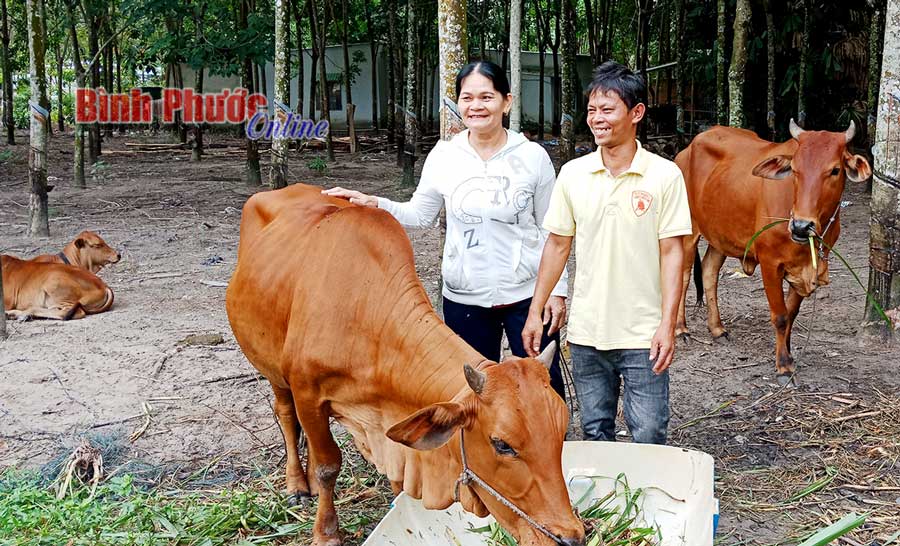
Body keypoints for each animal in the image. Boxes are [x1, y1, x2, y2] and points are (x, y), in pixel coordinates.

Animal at [227, 184, 584, 544]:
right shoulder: (306, 392)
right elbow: (328, 466)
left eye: (561, 431)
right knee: (286, 415)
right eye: (502, 445)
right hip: (270, 367)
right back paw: (299, 484)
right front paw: (326, 533)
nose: (570, 536)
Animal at [676, 121, 872, 380]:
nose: (801, 226)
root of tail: (686, 150)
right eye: (795, 170)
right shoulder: (770, 264)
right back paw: (681, 329)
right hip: (687, 231)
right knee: (683, 276)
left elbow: (791, 314)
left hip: (719, 235)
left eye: (835, 170)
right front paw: (783, 364)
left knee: (709, 271)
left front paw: (788, 352)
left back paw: (717, 328)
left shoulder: (806, 267)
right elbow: (780, 316)